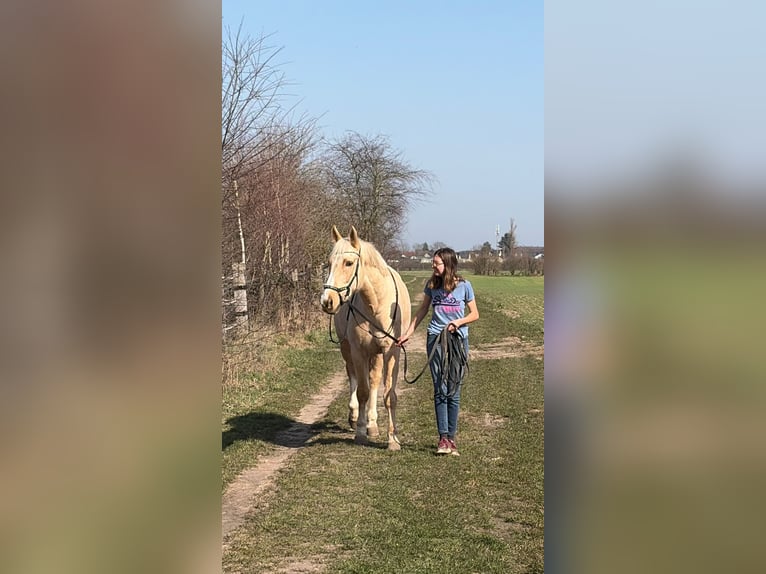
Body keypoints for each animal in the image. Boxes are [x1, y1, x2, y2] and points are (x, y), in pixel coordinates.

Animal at [320, 225, 412, 450]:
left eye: (348, 263)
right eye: (329, 263)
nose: (327, 301)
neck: (376, 304)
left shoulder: (391, 351)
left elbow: (388, 394)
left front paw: (392, 439)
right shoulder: (358, 351)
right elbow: (362, 390)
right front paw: (361, 431)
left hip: (377, 353)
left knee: (375, 380)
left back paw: (372, 422)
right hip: (347, 349)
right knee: (353, 376)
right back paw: (355, 417)